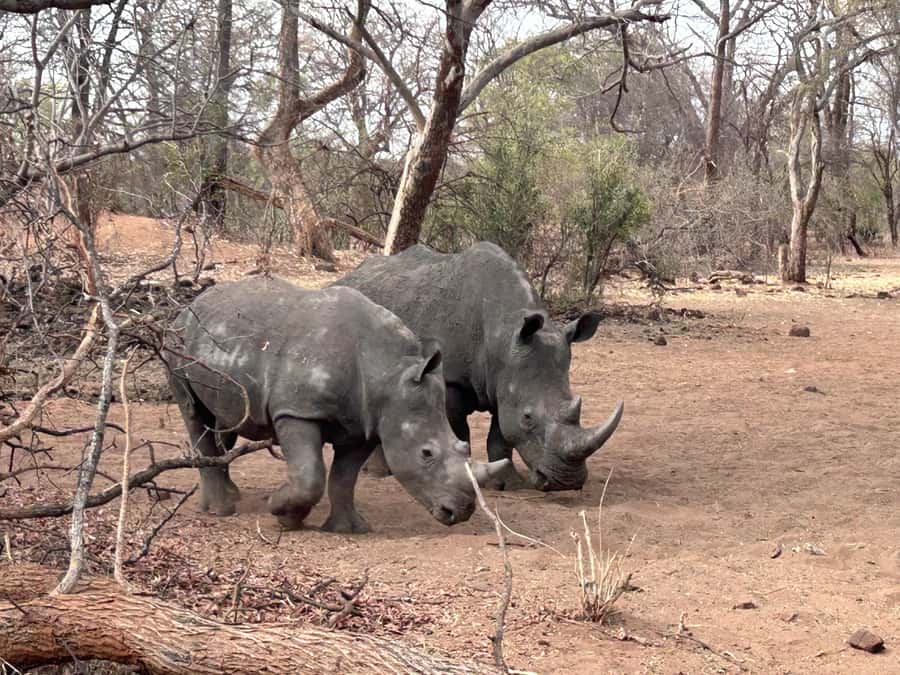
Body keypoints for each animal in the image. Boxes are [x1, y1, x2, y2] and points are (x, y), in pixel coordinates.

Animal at [166, 276, 509, 533]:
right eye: (426, 454)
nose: (460, 512)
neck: (388, 373)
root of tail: (189, 305)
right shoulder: (297, 410)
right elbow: (310, 475)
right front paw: (282, 513)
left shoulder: (366, 423)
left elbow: (344, 478)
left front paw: (348, 528)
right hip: (177, 341)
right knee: (194, 412)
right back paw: (221, 510)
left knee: (223, 420)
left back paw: (228, 496)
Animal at [333, 242, 623, 492]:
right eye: (528, 417)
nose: (566, 482)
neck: (503, 336)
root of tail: (348, 276)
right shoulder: (451, 379)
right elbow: (460, 431)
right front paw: (468, 478)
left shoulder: (505, 382)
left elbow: (500, 435)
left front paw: (507, 484)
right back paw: (378, 473)